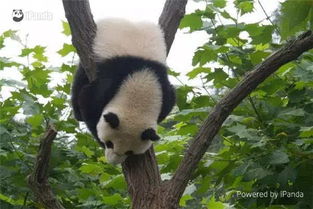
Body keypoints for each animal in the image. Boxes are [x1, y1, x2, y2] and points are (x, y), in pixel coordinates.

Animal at [71, 18, 176, 164]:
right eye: (109, 143)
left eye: (129, 152)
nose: (113, 161)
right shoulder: (111, 80)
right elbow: (88, 101)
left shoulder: (162, 85)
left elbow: (169, 101)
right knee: (80, 78)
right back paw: (77, 114)